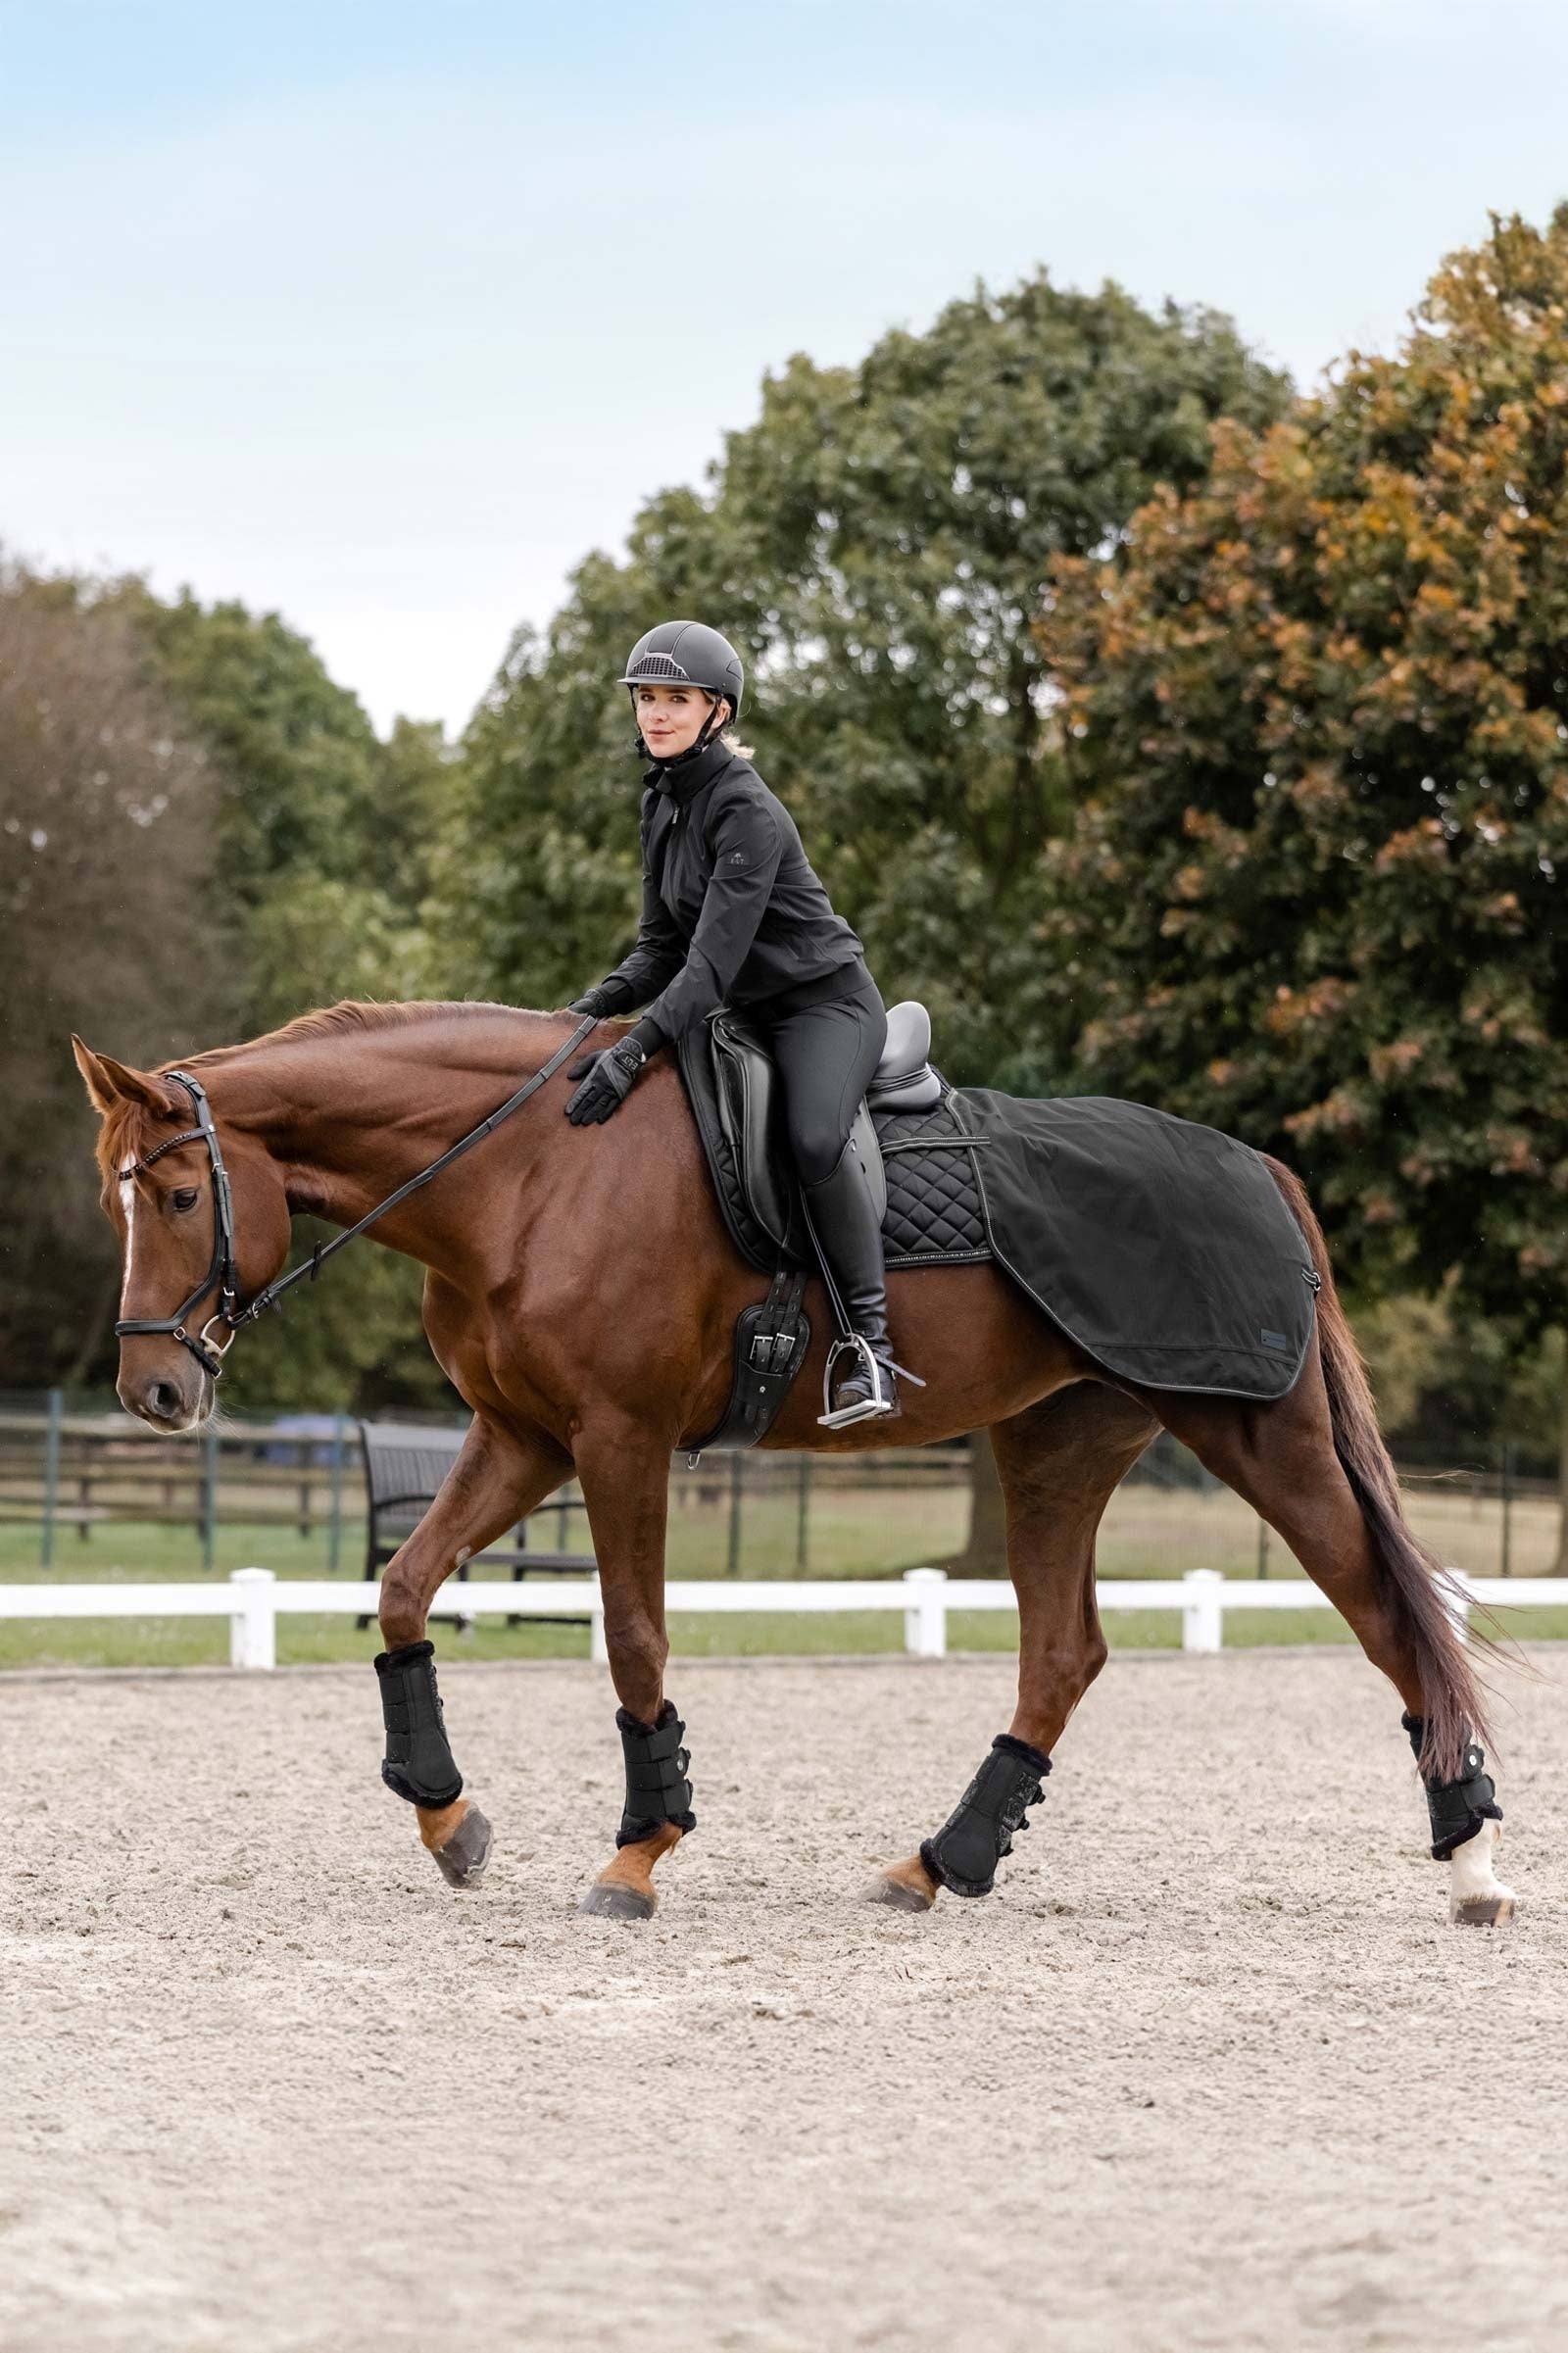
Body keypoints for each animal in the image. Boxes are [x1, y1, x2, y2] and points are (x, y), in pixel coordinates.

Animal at [73, 999, 1515, 1928]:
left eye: (184, 1197)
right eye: (115, 1204)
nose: (154, 1392)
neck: (530, 1171)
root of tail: (1253, 1165)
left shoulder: (617, 1439)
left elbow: (635, 1636)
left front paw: (639, 1853)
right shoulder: (522, 1435)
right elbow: (403, 1589)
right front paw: (448, 1818)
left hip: (1259, 1433)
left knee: (1393, 1618)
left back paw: (1472, 1865)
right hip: (1056, 1446)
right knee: (1063, 1651)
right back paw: (942, 1863)